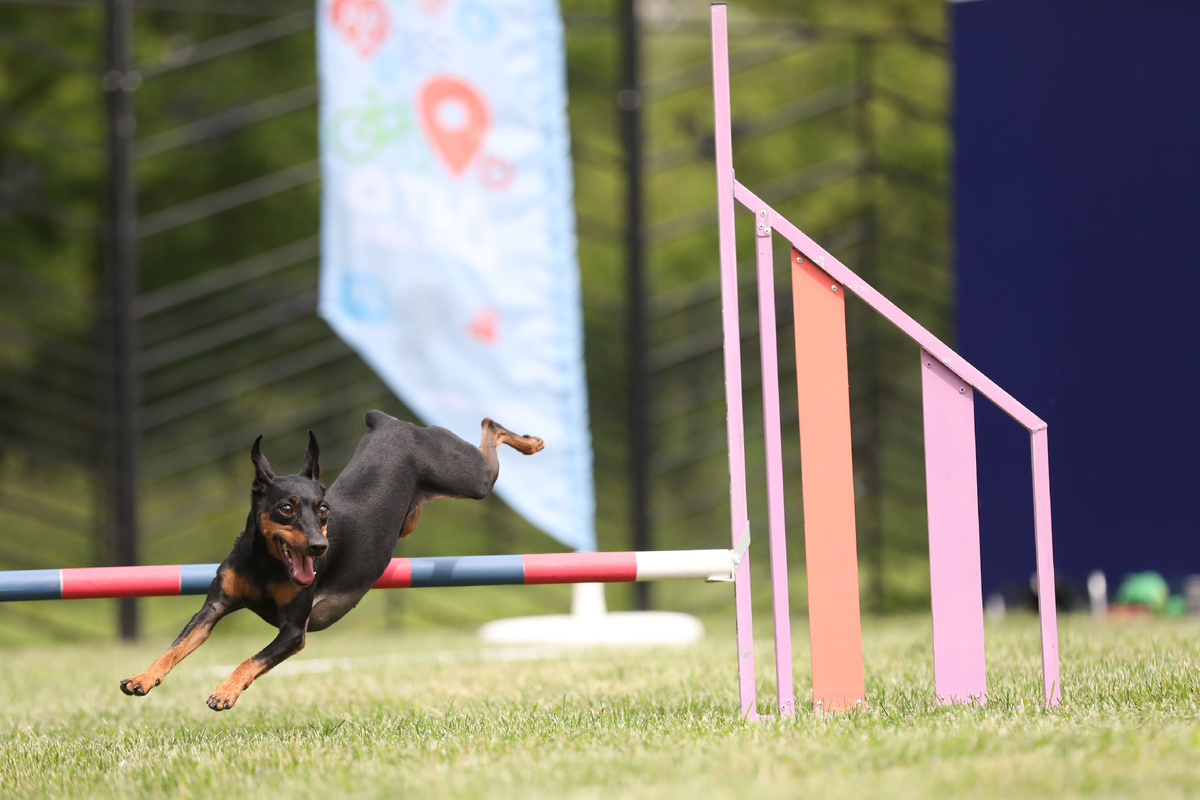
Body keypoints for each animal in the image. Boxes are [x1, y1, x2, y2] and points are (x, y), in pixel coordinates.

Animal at [119, 412, 542, 714]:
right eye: (287, 509)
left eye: (323, 510)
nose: (320, 547)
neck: (267, 564)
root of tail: (389, 422)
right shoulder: (214, 608)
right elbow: (176, 647)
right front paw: (143, 678)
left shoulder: (293, 632)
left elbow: (250, 659)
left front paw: (225, 691)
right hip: (418, 512)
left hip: (471, 479)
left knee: (490, 430)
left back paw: (531, 442)